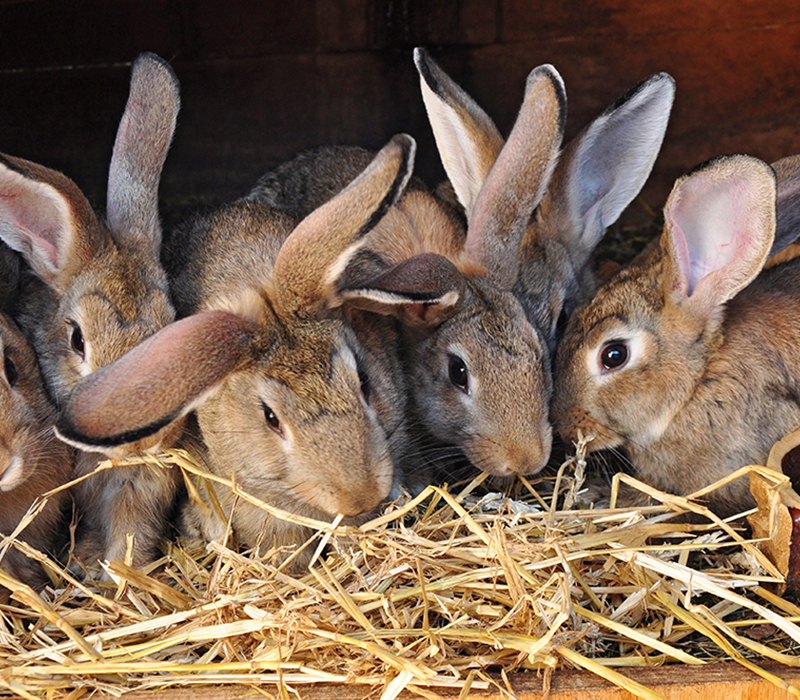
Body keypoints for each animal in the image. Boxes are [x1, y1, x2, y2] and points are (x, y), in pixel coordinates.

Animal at [0, 53, 181, 568]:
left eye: (172, 323)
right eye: (77, 341)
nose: (144, 438)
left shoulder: (137, 482)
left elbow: (129, 534)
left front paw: (114, 572)